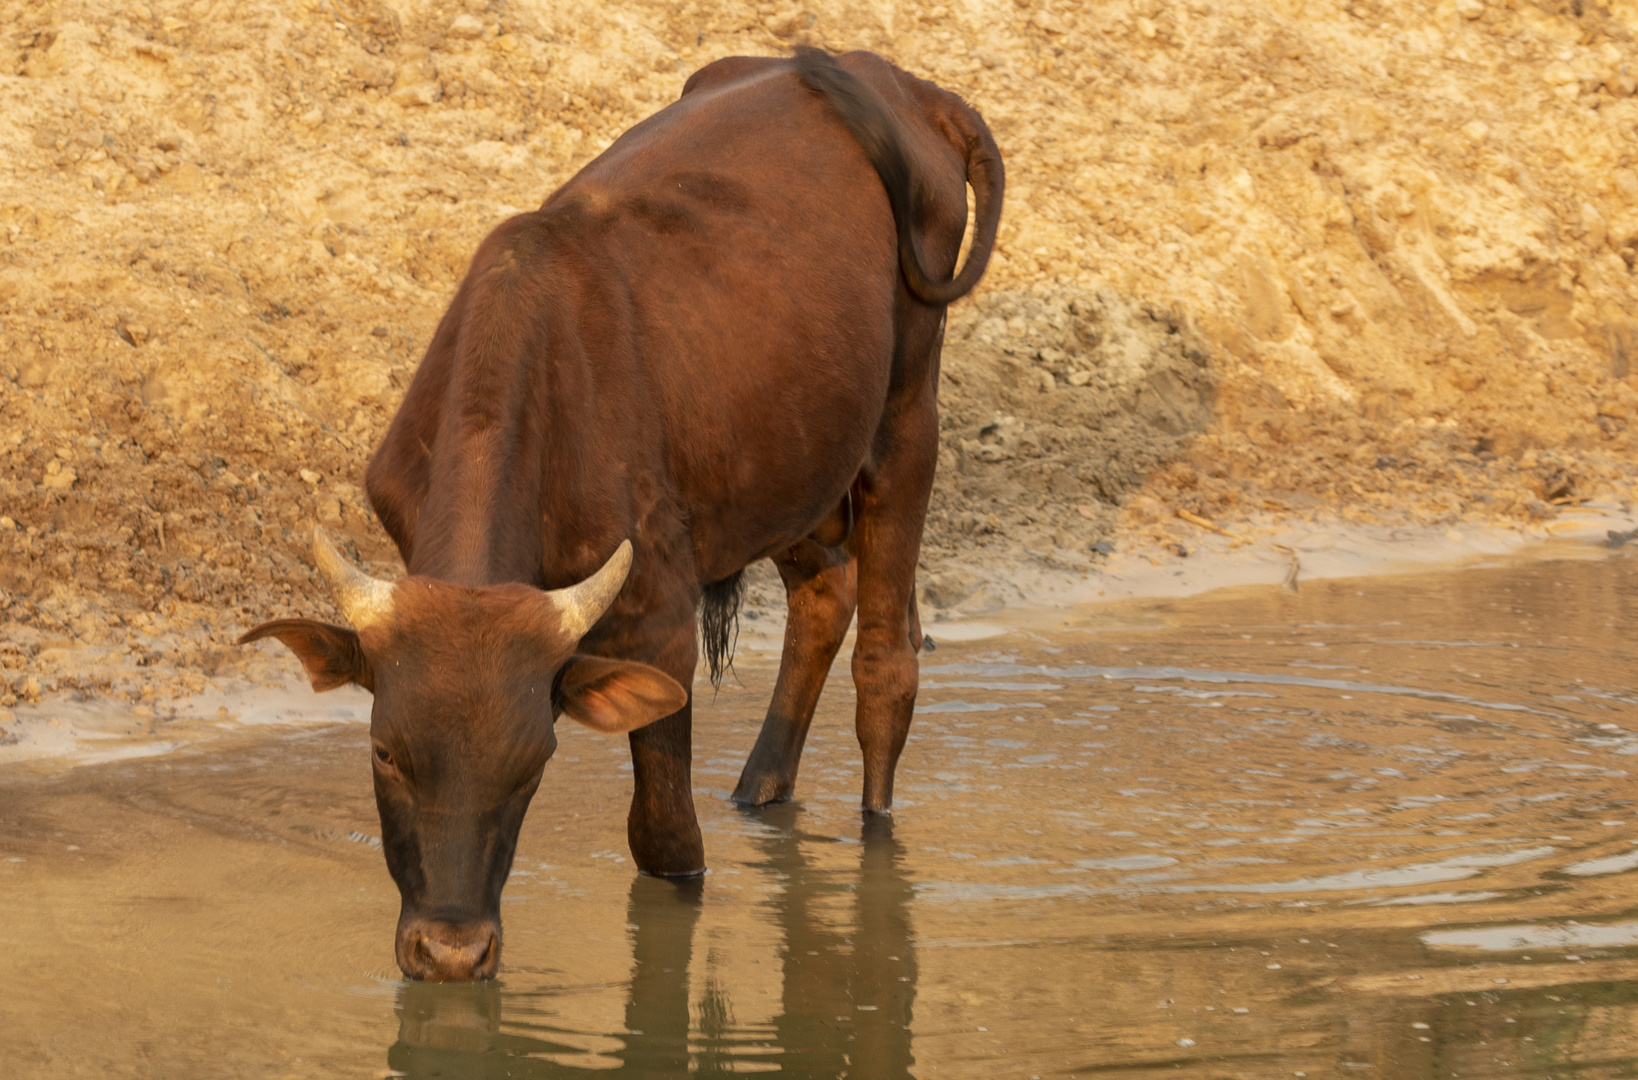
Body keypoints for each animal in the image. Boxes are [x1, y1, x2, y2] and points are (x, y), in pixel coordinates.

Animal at [237, 48, 1002, 983]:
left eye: (534, 761)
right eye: (386, 752)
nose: (451, 952)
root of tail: (909, 88)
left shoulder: (662, 617)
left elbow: (666, 843)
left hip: (905, 417)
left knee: (887, 665)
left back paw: (873, 840)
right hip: (791, 461)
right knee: (828, 593)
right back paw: (760, 791)